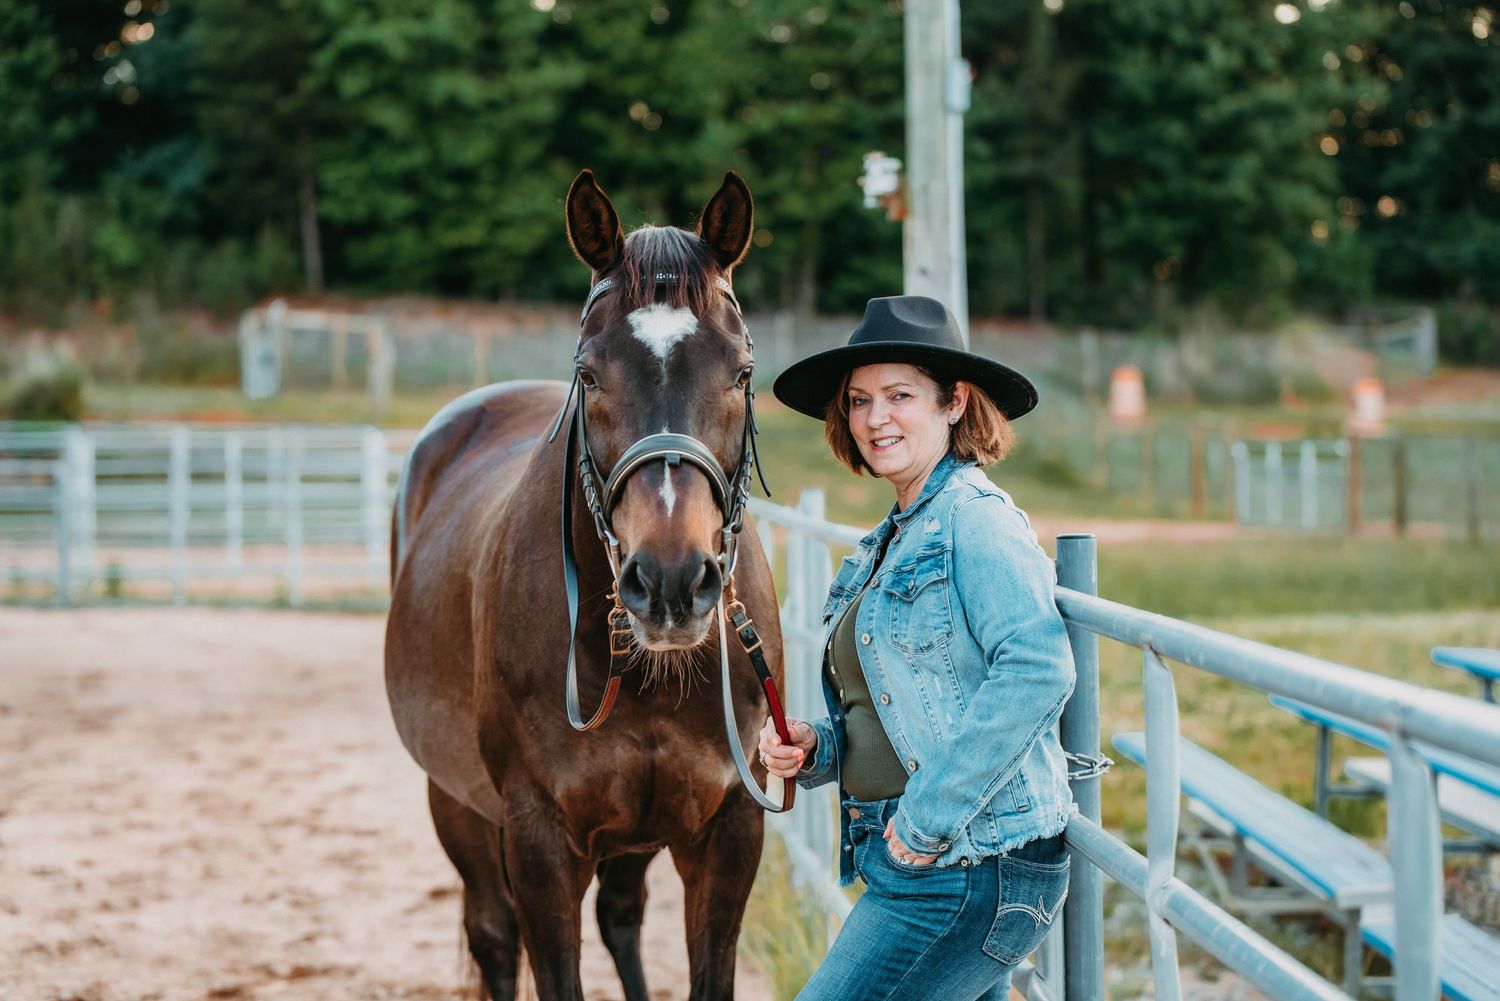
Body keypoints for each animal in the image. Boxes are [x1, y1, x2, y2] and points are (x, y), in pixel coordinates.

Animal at [385, 170, 786, 1001]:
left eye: (741, 372)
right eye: (590, 372)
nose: (670, 582)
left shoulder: (729, 829)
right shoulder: (538, 840)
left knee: (620, 918)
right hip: (458, 805)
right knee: (494, 935)